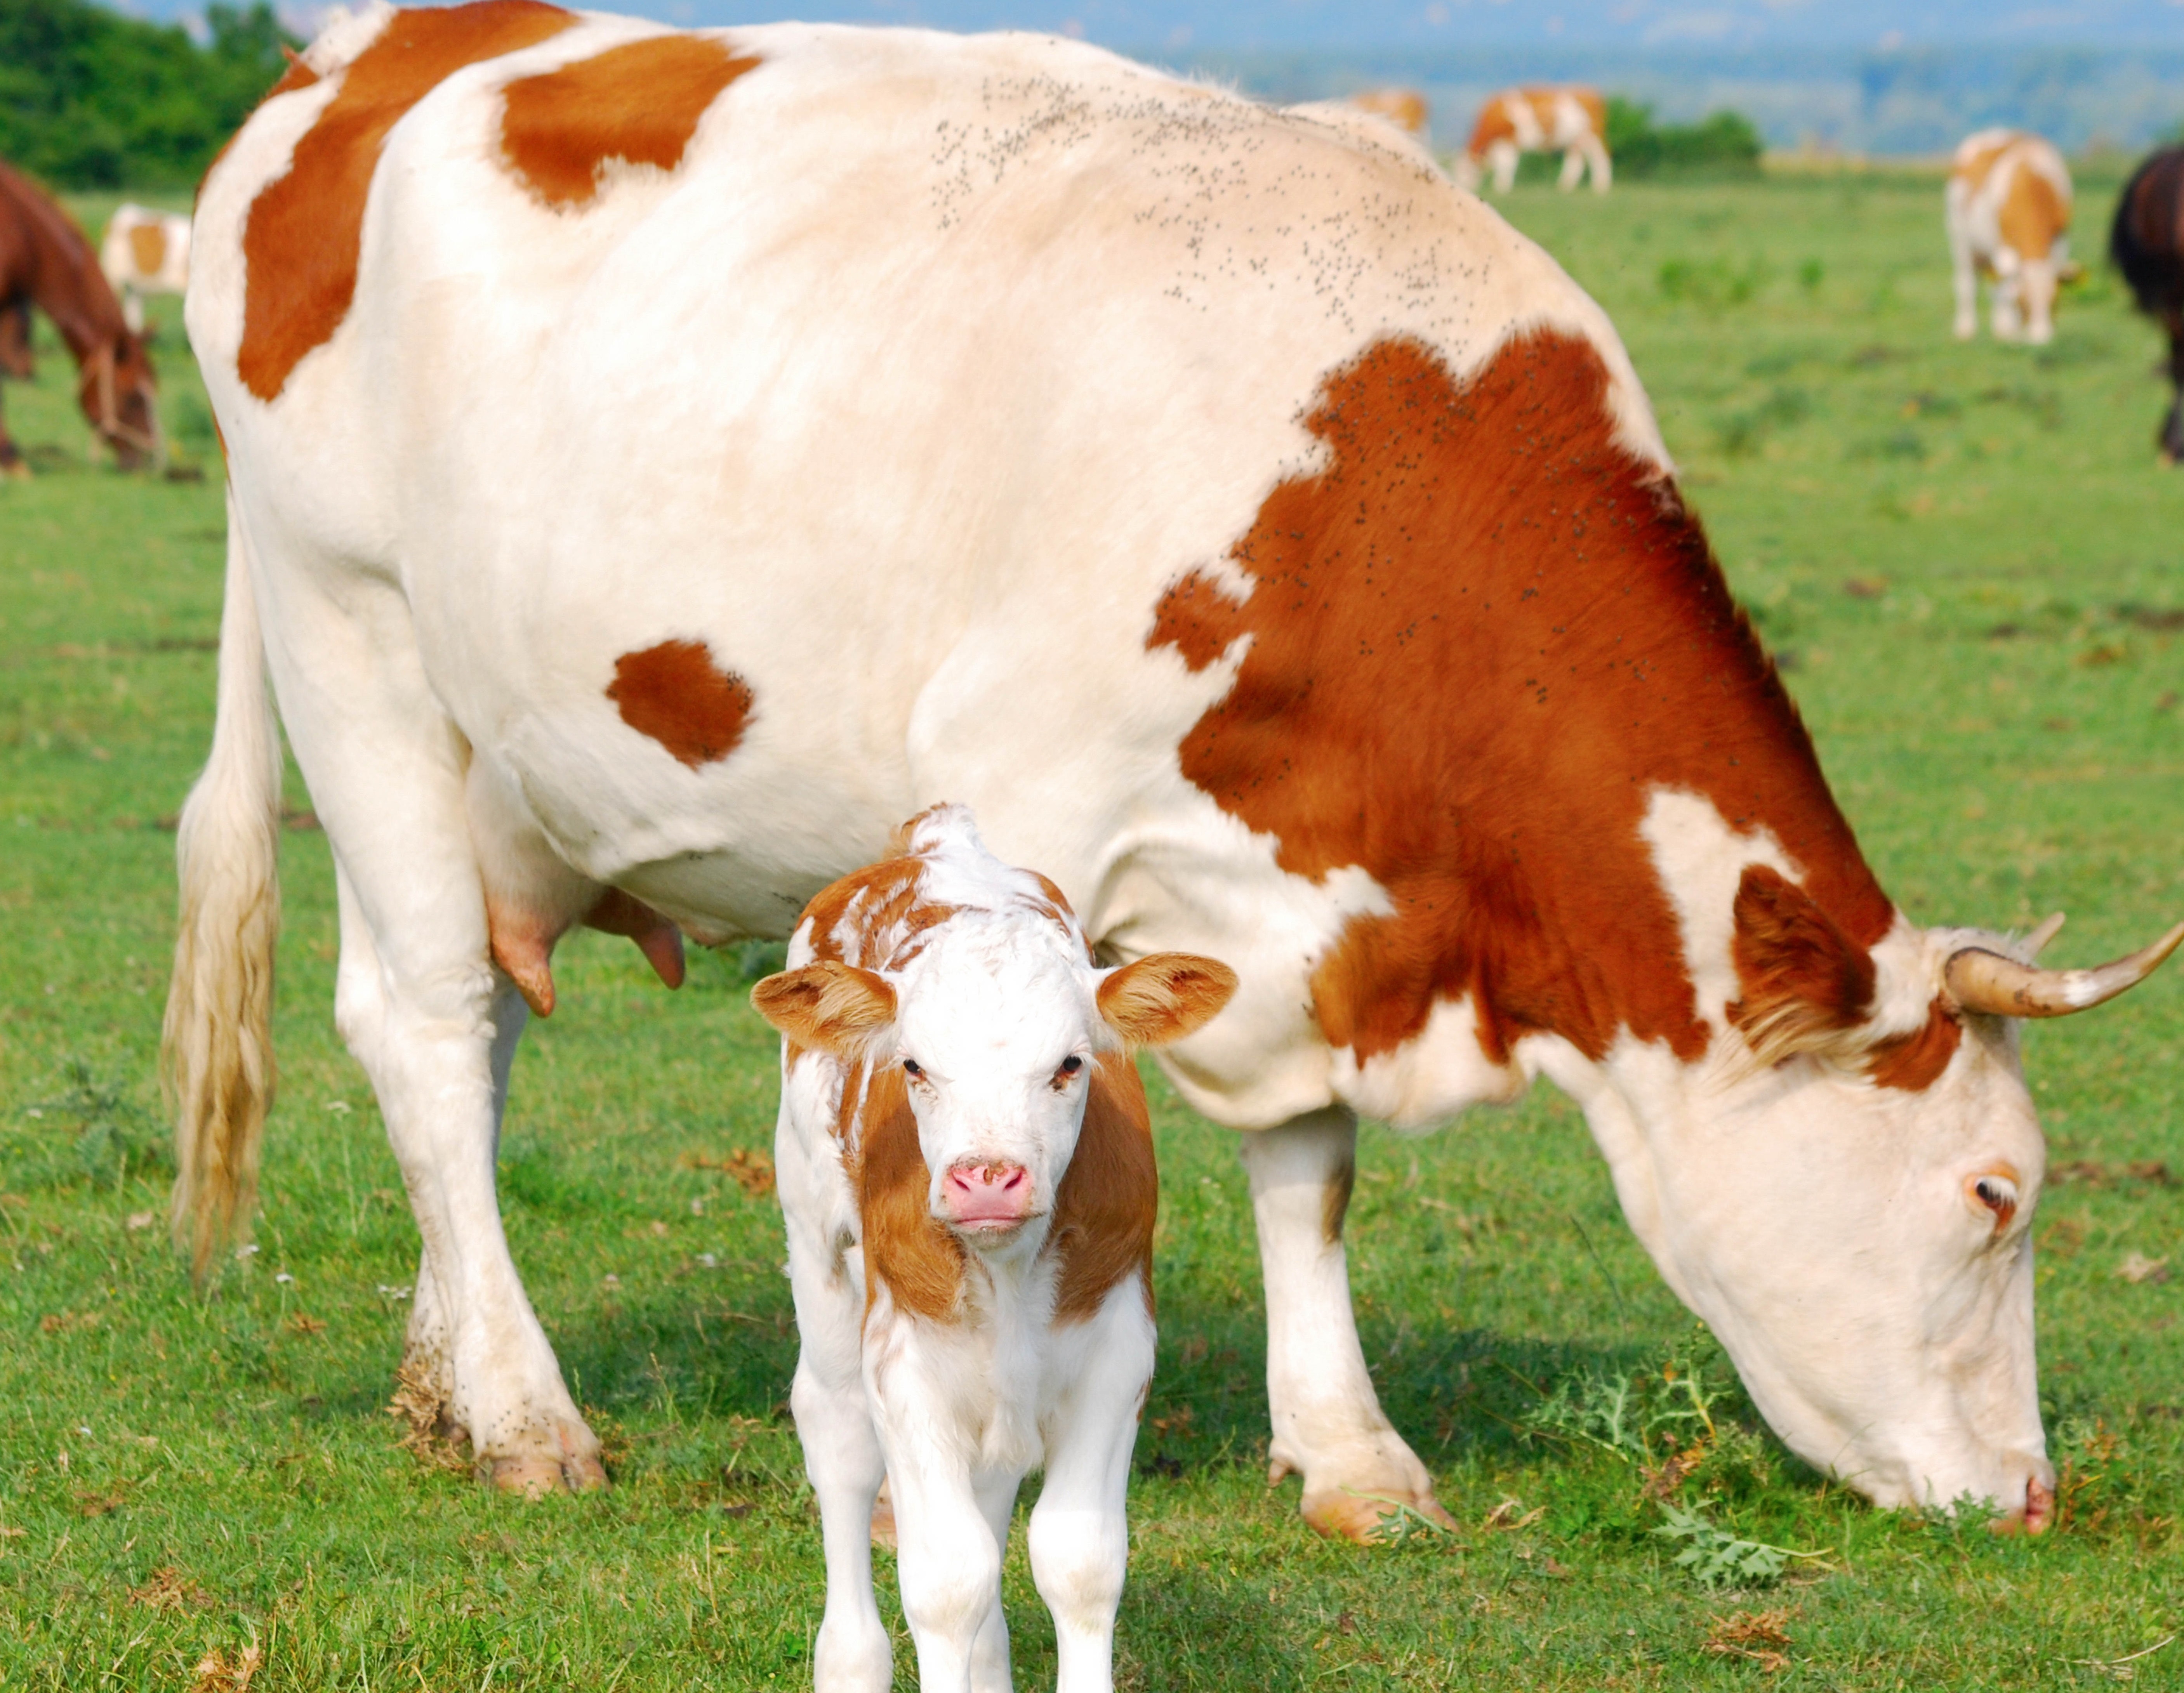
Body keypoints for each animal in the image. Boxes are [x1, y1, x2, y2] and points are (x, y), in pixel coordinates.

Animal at [749, 804, 1234, 1693]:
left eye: (1070, 1063)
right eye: (914, 1065)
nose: (987, 1179)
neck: (1009, 1269)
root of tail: (937, 837)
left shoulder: (1118, 1347)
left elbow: (1079, 1560)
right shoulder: (902, 1358)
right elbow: (947, 1579)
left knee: (995, 1477)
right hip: (815, 1243)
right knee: (839, 1442)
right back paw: (850, 1660)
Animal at [1455, 86, 1609, 194]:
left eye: (1468, 170)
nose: (1463, 186)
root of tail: (1592, 93)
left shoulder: (1510, 139)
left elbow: (1507, 163)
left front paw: (1502, 187)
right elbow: (1502, 163)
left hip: (1593, 134)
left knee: (1600, 157)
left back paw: (1601, 187)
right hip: (1577, 139)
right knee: (1577, 161)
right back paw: (1565, 186)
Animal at [1948, 129, 2075, 346]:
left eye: (2055, 303)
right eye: (2023, 305)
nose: (2041, 341)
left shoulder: (2060, 242)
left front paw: (2007, 329)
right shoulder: (2004, 246)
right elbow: (2006, 288)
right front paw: (2010, 330)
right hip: (1961, 240)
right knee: (1969, 283)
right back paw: (1969, 329)